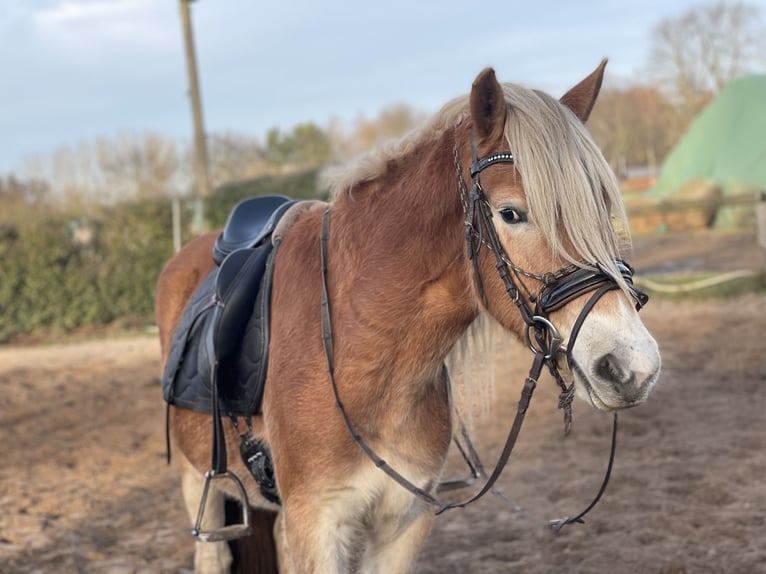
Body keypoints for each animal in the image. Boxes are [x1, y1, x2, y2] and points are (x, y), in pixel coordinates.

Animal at [154, 60, 660, 572]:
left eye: (604, 209)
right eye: (511, 214)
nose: (633, 366)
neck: (362, 348)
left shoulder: (404, 521)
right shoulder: (317, 523)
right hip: (201, 484)